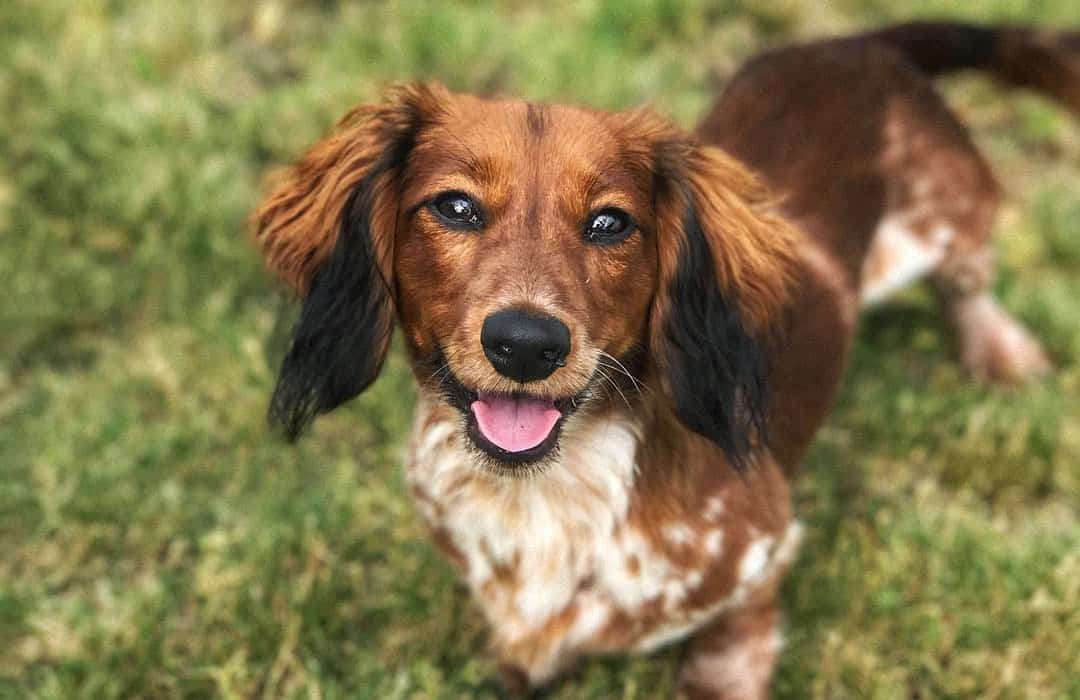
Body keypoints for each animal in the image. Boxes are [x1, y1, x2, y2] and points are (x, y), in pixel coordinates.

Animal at [250, 21, 1071, 700]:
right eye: (454, 207)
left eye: (611, 223)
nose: (525, 344)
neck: (547, 494)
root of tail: (859, 43)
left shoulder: (765, 554)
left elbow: (730, 647)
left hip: (950, 215)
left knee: (969, 280)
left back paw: (1004, 354)